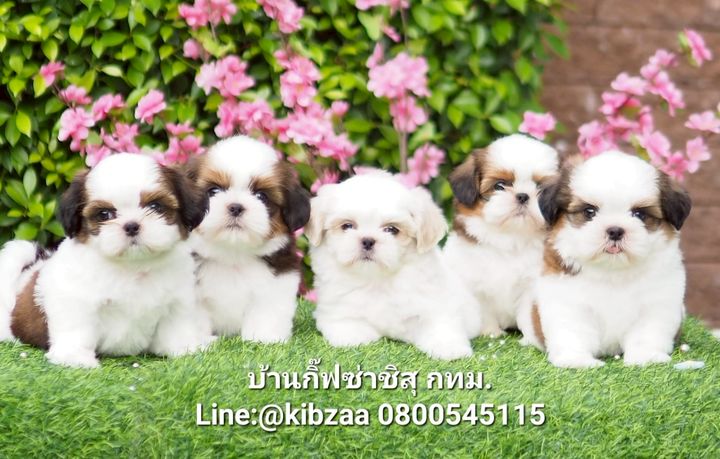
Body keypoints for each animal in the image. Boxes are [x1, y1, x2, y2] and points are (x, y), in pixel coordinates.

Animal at [0, 153, 214, 368]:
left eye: (155, 206)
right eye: (104, 214)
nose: (131, 226)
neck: (133, 267)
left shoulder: (177, 300)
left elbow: (176, 328)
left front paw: (184, 349)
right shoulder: (75, 299)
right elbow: (77, 328)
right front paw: (75, 358)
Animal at [187, 136, 310, 343]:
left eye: (261, 196)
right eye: (213, 191)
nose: (236, 207)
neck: (233, 255)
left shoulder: (277, 285)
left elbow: (266, 315)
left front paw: (264, 339)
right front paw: (200, 340)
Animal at [306, 172, 482, 360]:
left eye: (392, 230)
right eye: (347, 225)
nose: (368, 240)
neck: (376, 280)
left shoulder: (436, 305)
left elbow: (441, 325)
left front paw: (450, 348)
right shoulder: (336, 310)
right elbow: (348, 326)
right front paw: (355, 337)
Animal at [443, 134, 559, 336]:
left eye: (541, 189)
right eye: (499, 186)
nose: (523, 196)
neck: (510, 238)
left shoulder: (531, 286)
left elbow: (528, 315)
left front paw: (530, 338)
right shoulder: (475, 285)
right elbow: (484, 312)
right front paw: (491, 333)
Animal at [519, 150, 691, 368]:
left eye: (639, 214)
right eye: (589, 212)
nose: (615, 230)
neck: (612, 272)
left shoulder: (658, 303)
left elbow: (647, 333)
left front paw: (646, 357)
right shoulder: (567, 302)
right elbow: (573, 332)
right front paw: (576, 360)